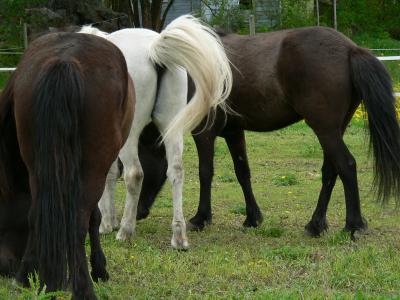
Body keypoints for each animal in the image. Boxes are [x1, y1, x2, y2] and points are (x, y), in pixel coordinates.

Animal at [0, 31, 134, 298]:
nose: (3, 268)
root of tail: (65, 60)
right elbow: (94, 217)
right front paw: (99, 269)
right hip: (92, 170)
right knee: (78, 223)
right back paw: (83, 288)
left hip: (38, 168)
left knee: (37, 215)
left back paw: (27, 277)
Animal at [79, 15, 231, 250]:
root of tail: (153, 50)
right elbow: (111, 174)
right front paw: (109, 221)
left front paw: (106, 224)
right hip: (171, 128)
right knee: (176, 171)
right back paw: (178, 237)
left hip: (130, 136)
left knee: (135, 174)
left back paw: (126, 231)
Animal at [135, 27, 400, 238]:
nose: (137, 213)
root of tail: (351, 49)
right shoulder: (234, 133)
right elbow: (242, 172)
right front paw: (252, 218)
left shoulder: (204, 133)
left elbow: (205, 172)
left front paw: (201, 218)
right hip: (334, 130)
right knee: (330, 171)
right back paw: (315, 225)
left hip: (325, 130)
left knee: (346, 165)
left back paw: (354, 225)